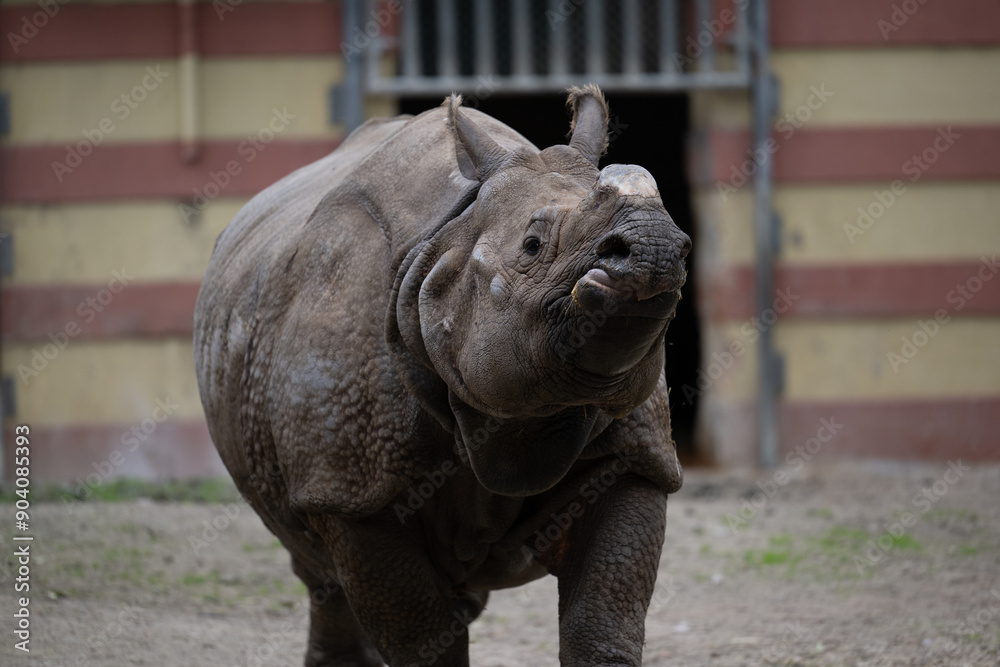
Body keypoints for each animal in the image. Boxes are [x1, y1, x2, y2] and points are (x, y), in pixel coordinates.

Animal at [194, 85, 690, 666]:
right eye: (532, 244)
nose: (655, 246)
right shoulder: (348, 491)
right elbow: (421, 642)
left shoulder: (635, 458)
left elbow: (603, 624)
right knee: (319, 568)